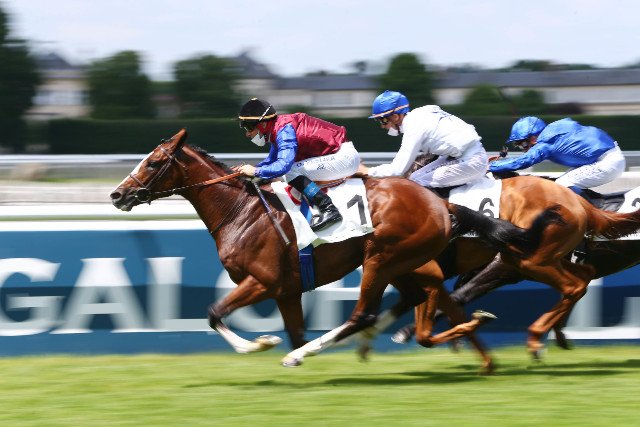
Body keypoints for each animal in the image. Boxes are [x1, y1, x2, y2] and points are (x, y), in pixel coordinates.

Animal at [109, 129, 558, 371]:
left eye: (153, 163)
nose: (117, 194)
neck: (243, 211)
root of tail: (440, 202)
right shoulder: (287, 290)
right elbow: (291, 329)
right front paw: (281, 345)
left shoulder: (263, 281)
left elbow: (214, 313)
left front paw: (260, 344)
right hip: (407, 264)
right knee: (436, 302)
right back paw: (477, 348)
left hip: (382, 257)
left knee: (364, 314)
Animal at [360, 154, 640, 359]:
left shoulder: (501, 266)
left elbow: (456, 296)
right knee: (581, 281)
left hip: (530, 262)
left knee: (574, 286)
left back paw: (538, 337)